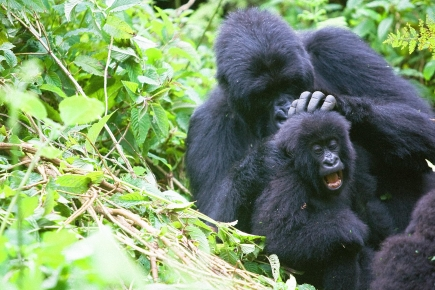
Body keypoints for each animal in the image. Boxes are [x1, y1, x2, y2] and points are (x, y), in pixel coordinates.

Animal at [186, 7, 435, 232]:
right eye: (264, 95)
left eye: (289, 84)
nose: (284, 111)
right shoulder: (207, 124)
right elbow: (216, 225)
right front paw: (267, 156)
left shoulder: (338, 46)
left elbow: (424, 121)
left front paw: (341, 106)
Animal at [250, 110, 370, 288]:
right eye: (318, 150)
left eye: (332, 145)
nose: (331, 161)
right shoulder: (288, 181)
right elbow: (276, 239)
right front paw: (349, 226)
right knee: (342, 247)